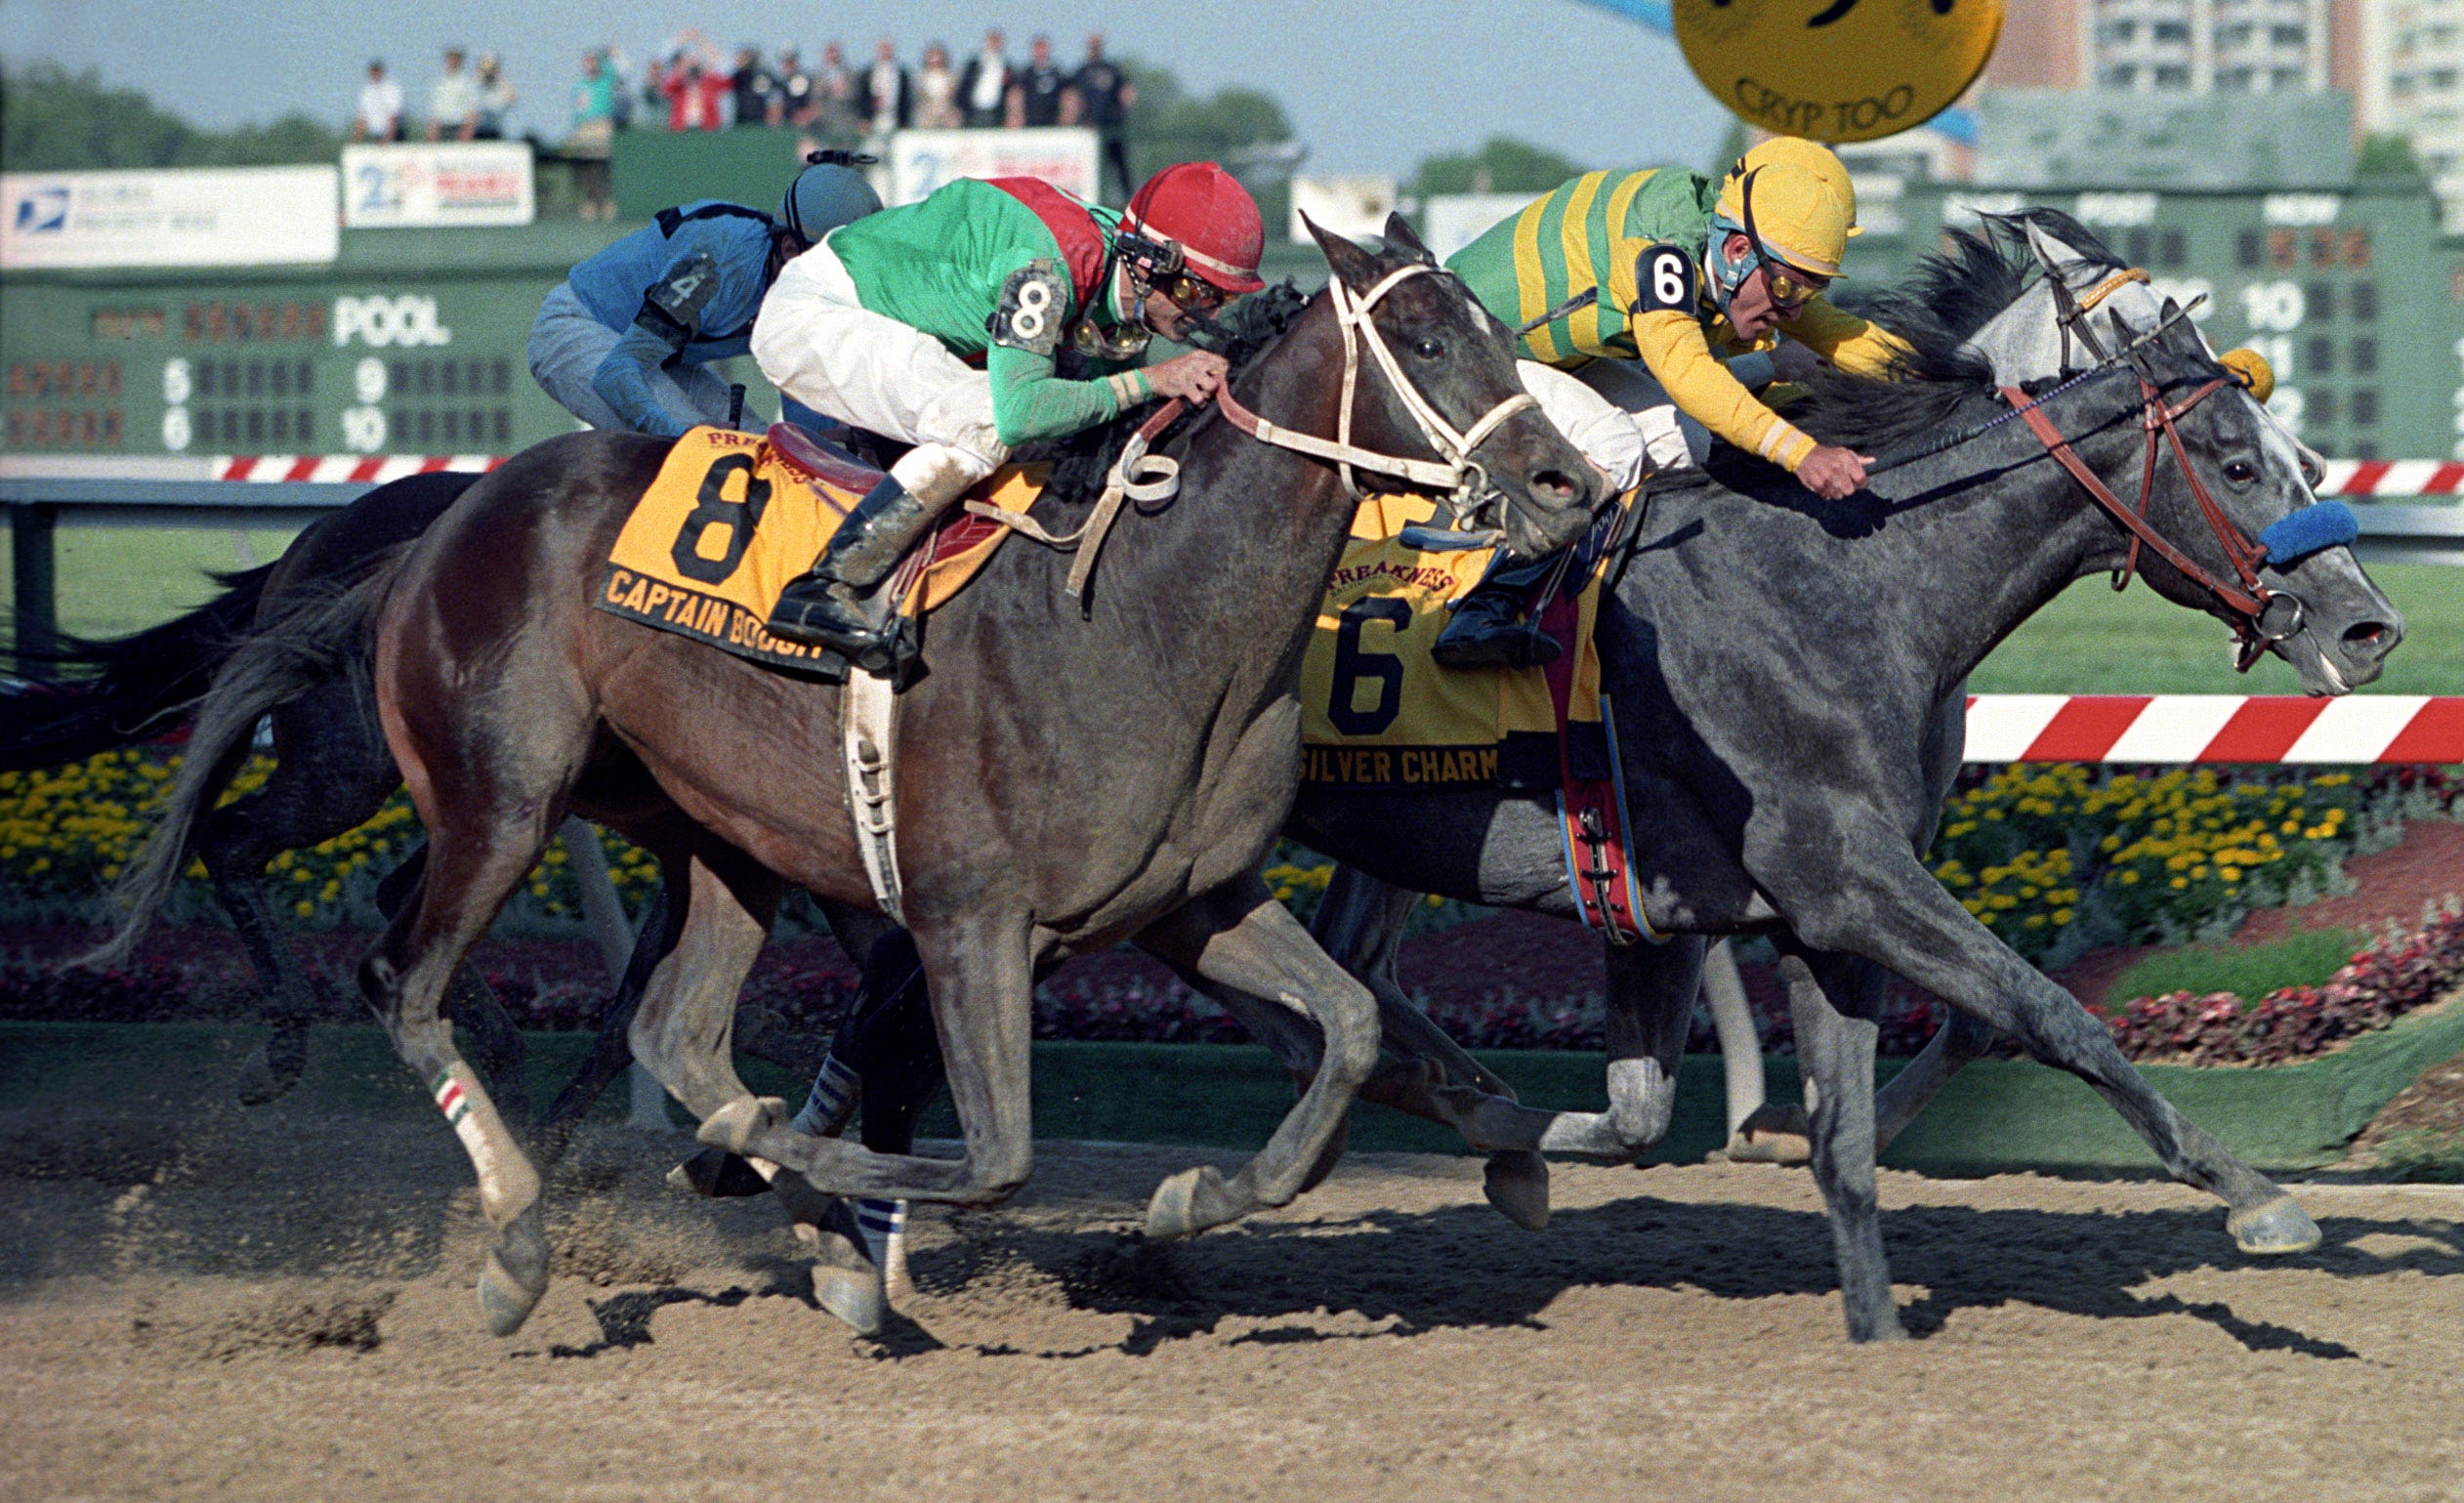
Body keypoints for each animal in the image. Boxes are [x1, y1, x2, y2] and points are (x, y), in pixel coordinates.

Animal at [250, 217, 1586, 1330]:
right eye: (1425, 338)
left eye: (1500, 334)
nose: (1565, 483)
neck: (1145, 610)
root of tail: (442, 523)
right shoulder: (967, 915)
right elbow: (995, 1159)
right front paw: (802, 1173)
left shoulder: (1190, 900)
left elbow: (1351, 1031)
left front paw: (1188, 1197)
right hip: (501, 800)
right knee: (406, 983)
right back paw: (527, 1245)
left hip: (717, 836)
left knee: (676, 1032)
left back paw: (807, 1225)